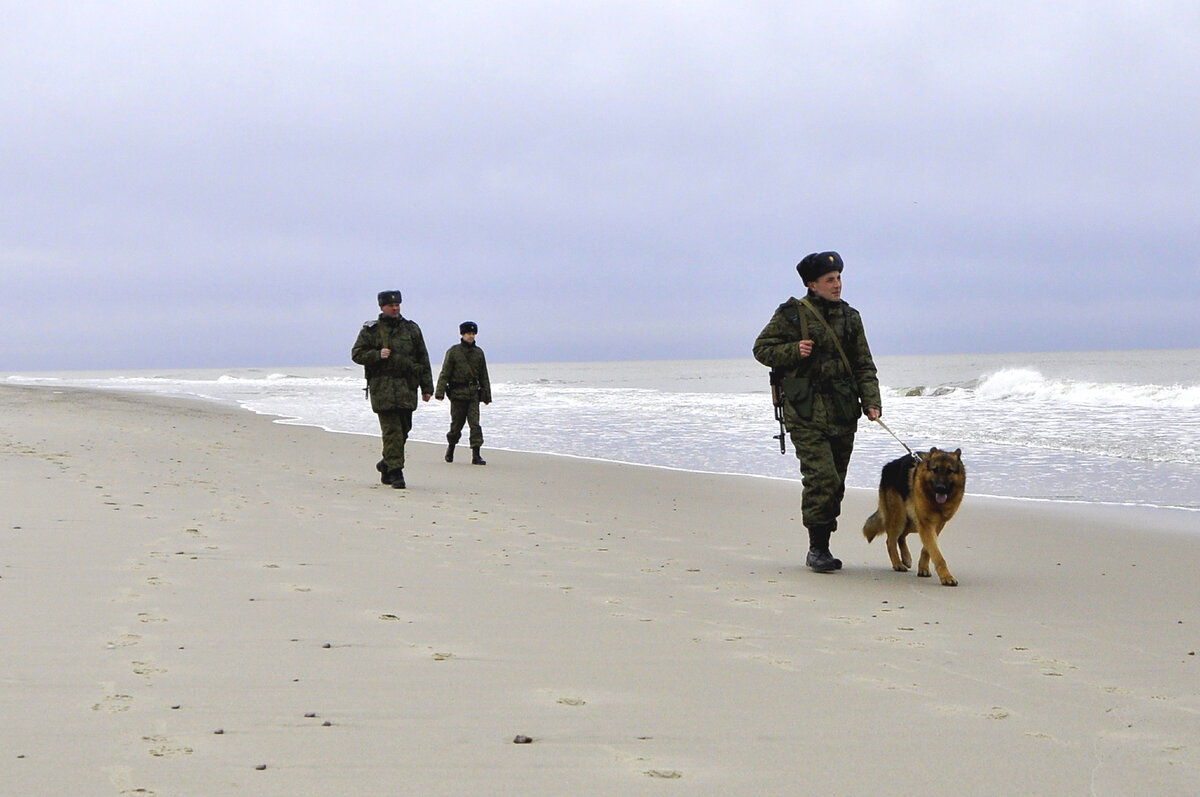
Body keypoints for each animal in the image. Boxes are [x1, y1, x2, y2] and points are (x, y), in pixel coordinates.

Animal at [864, 448, 964, 585]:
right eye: (935, 469)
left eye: (950, 471)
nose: (940, 488)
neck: (934, 501)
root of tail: (888, 466)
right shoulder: (926, 524)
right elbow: (936, 554)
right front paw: (946, 577)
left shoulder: (937, 525)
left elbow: (928, 549)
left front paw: (923, 568)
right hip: (900, 518)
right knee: (891, 541)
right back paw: (898, 564)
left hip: (912, 523)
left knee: (901, 536)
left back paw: (906, 558)